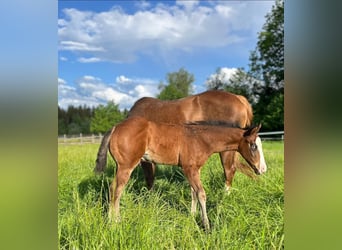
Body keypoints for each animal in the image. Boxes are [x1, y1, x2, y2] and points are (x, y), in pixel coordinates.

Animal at [105, 116, 266, 231]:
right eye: (253, 146)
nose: (263, 169)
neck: (200, 138)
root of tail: (115, 128)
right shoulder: (189, 168)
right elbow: (201, 194)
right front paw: (206, 226)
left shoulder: (195, 169)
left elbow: (193, 193)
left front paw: (192, 215)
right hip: (126, 166)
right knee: (117, 191)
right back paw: (115, 221)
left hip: (122, 167)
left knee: (112, 188)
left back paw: (111, 218)